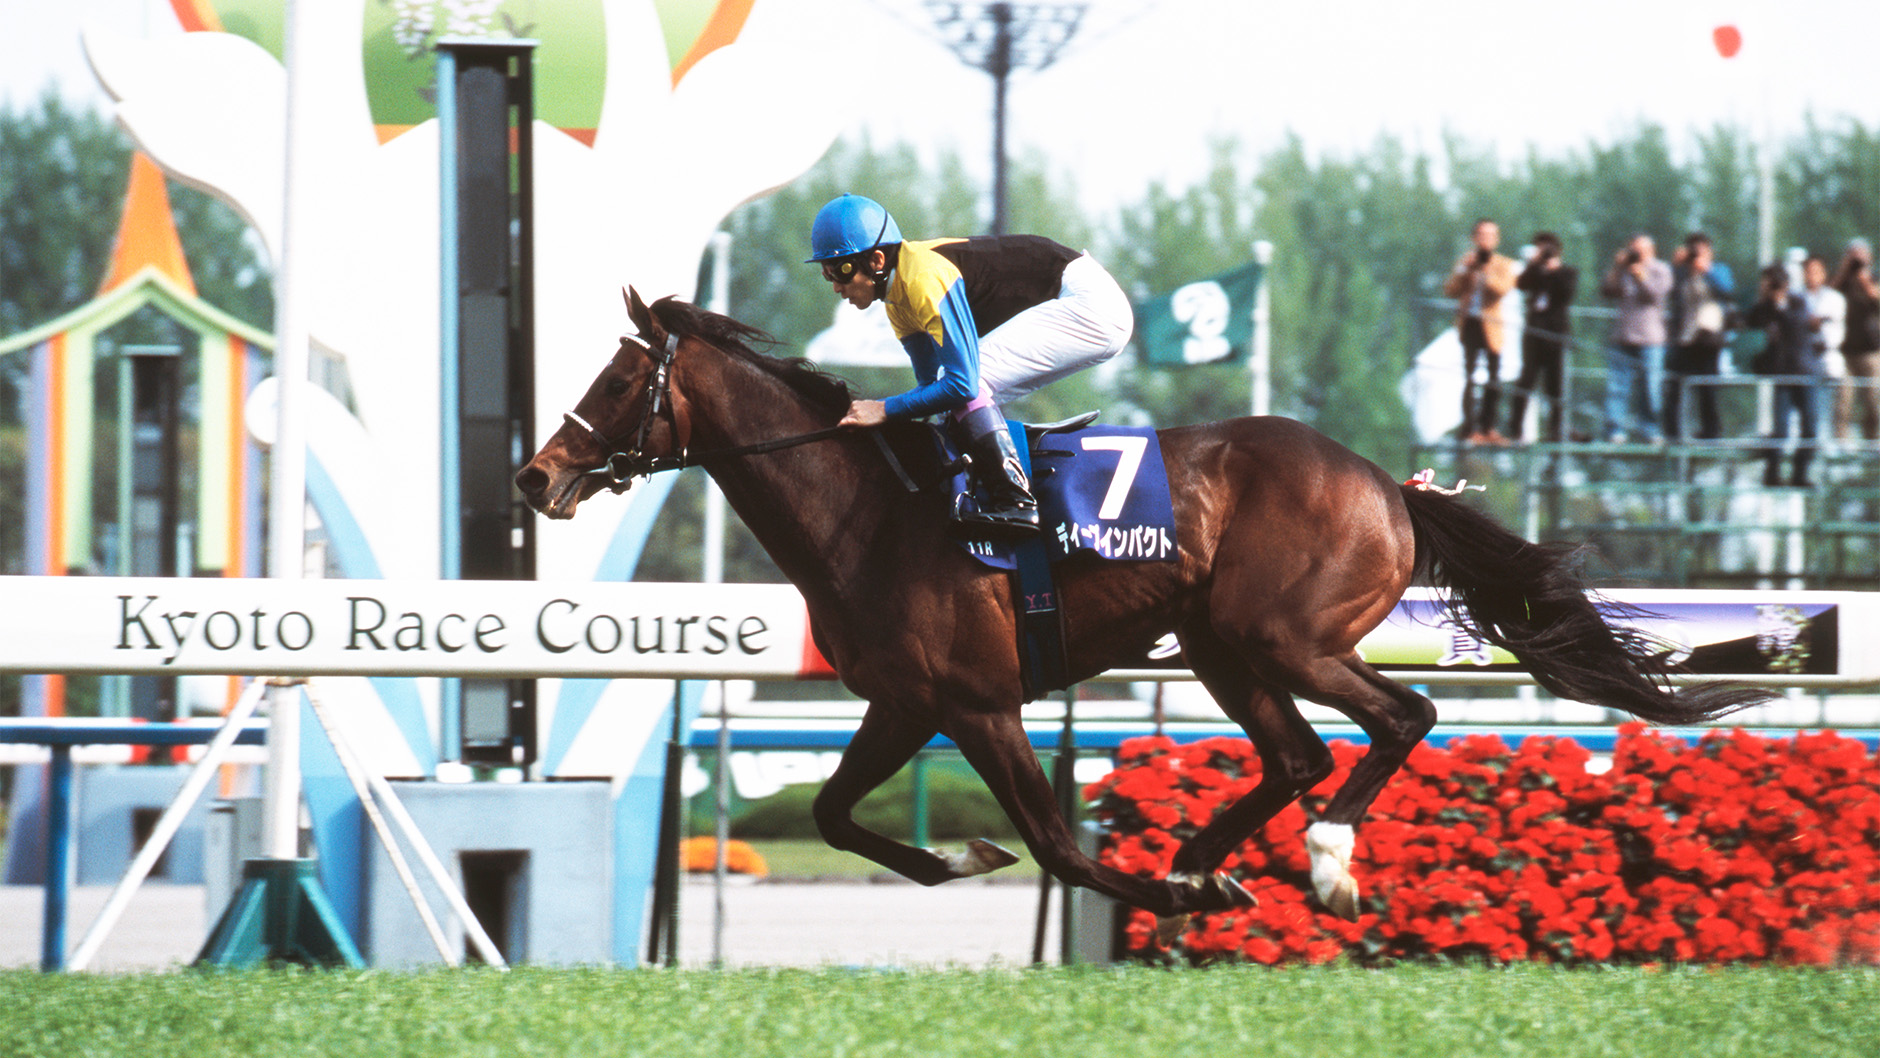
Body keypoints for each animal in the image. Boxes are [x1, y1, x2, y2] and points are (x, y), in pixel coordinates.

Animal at [516, 289, 1771, 932]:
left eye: (618, 381)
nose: (536, 476)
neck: (868, 504)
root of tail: (1389, 485)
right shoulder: (904, 701)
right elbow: (831, 814)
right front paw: (968, 853)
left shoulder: (978, 701)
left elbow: (1060, 846)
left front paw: (1135, 880)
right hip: (1222, 644)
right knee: (1296, 751)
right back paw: (1207, 859)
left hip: (1282, 633)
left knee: (1396, 717)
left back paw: (1319, 860)